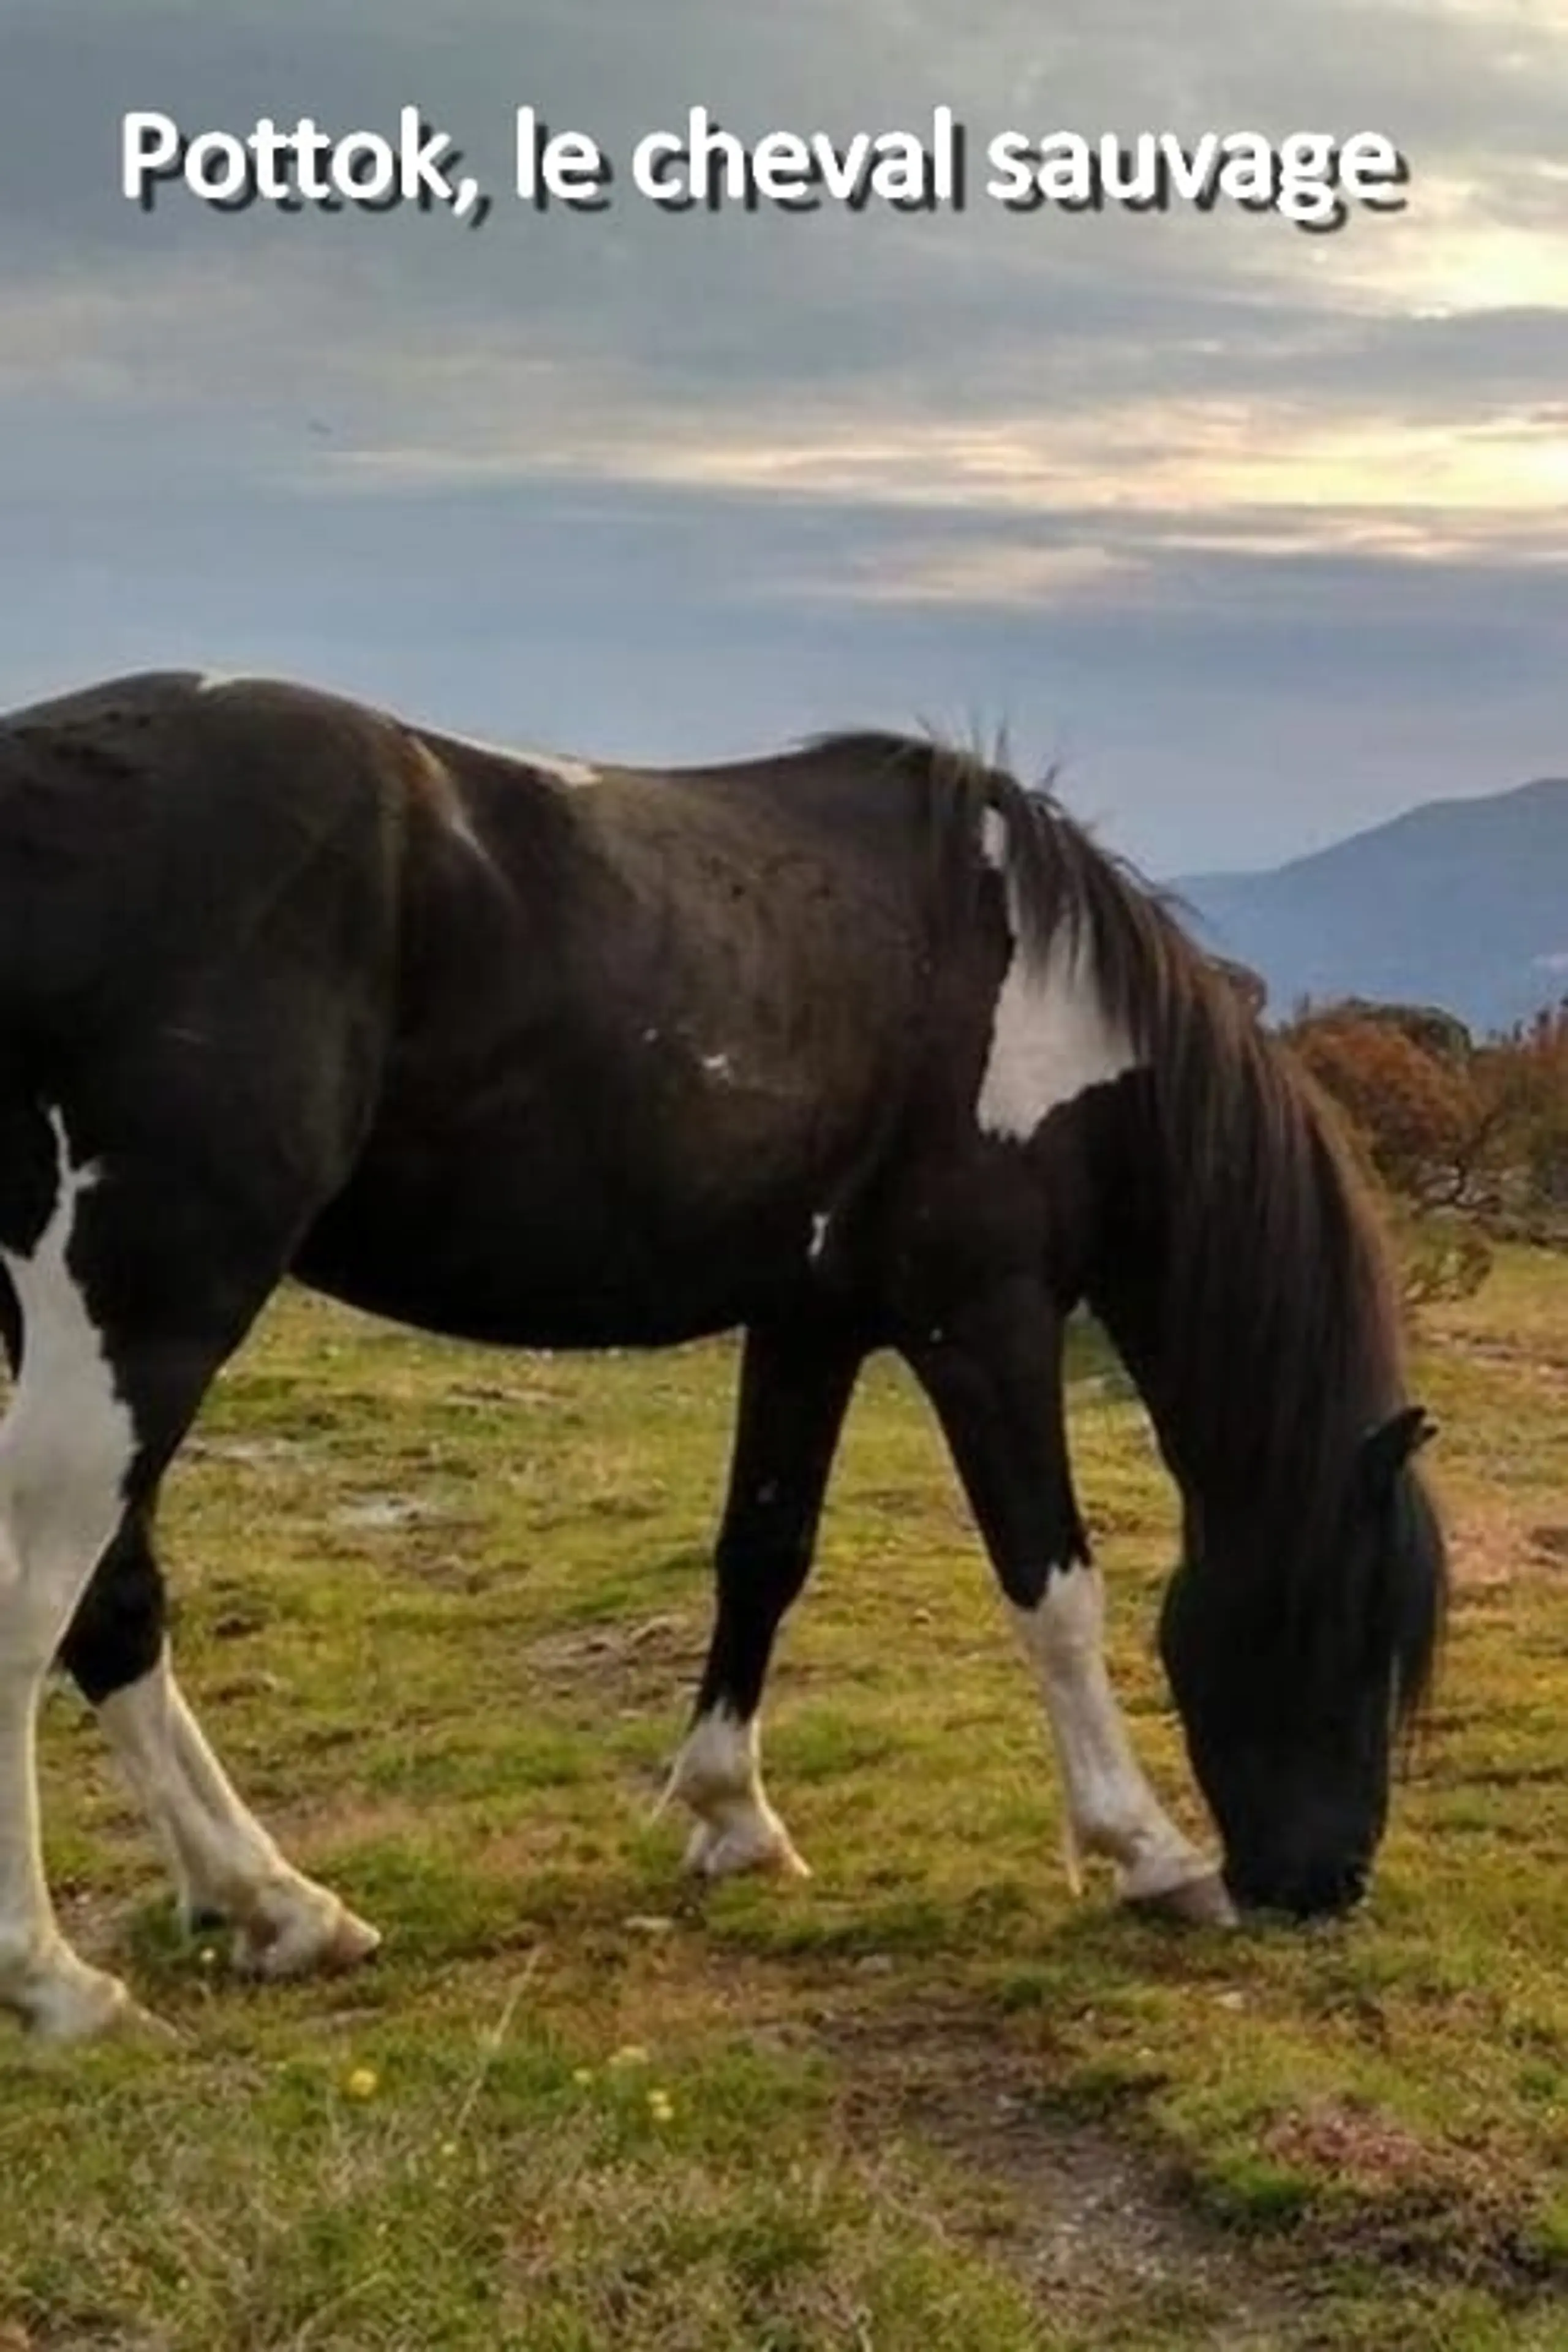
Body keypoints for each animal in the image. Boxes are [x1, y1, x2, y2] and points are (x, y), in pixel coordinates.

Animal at [0, 677, 1448, 2041]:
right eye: (1355, 1626)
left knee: (116, 1604)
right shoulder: (983, 1323)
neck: (1047, 1006)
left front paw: (732, 1815)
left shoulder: (811, 1320)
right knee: (40, 1599)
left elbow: (763, 1552)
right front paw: (1143, 1848)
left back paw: (274, 1905)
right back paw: (60, 1981)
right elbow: (1054, 1589)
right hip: (150, 1303)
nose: (1325, 1885)